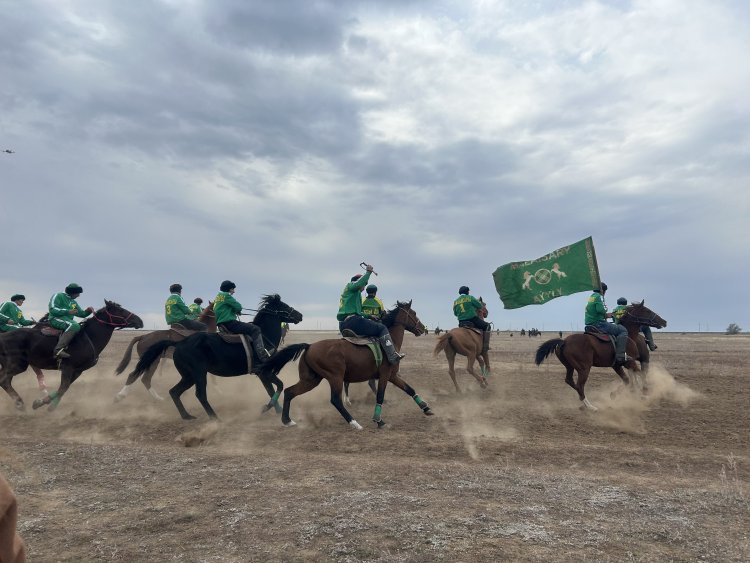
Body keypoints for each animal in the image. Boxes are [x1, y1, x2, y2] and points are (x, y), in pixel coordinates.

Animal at [0, 302, 144, 412]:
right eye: (120, 310)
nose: (140, 321)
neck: (89, 338)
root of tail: (4, 336)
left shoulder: (78, 370)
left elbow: (64, 388)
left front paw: (40, 402)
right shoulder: (68, 367)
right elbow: (63, 387)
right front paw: (49, 407)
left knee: (5, 381)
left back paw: (19, 404)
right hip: (17, 365)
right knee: (4, 381)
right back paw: (20, 404)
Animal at [126, 296, 302, 418]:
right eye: (284, 306)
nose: (300, 315)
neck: (263, 335)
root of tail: (180, 342)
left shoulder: (262, 374)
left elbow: (270, 389)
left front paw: (276, 410)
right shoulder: (263, 372)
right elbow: (278, 386)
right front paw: (270, 408)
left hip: (188, 376)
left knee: (174, 392)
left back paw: (187, 416)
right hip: (198, 373)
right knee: (200, 394)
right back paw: (214, 417)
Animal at [258, 302, 434, 430]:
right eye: (414, 313)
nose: (422, 328)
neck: (388, 344)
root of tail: (309, 346)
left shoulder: (392, 376)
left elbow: (409, 389)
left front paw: (426, 408)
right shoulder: (385, 376)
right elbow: (380, 396)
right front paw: (379, 420)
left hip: (311, 380)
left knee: (289, 392)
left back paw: (287, 421)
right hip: (335, 377)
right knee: (335, 400)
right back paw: (354, 422)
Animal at [536, 302, 668, 412]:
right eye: (647, 311)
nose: (664, 321)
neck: (629, 336)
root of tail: (564, 341)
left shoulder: (618, 365)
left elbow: (627, 379)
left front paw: (620, 393)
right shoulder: (629, 362)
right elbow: (641, 374)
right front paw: (644, 393)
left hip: (570, 367)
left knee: (571, 381)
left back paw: (584, 404)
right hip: (584, 368)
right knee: (580, 385)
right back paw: (591, 406)